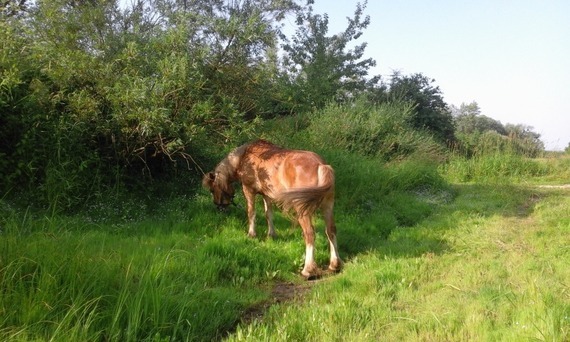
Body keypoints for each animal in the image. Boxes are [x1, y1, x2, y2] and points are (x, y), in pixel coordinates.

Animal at [202, 139, 340, 278]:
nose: (219, 207)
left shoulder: (248, 190)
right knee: (331, 230)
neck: (245, 155)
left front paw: (251, 234)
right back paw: (334, 265)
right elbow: (269, 214)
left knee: (310, 234)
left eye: (212, 189)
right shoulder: (267, 194)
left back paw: (308, 270)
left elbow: (251, 213)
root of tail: (320, 165)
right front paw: (271, 235)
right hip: (328, 206)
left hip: (303, 211)